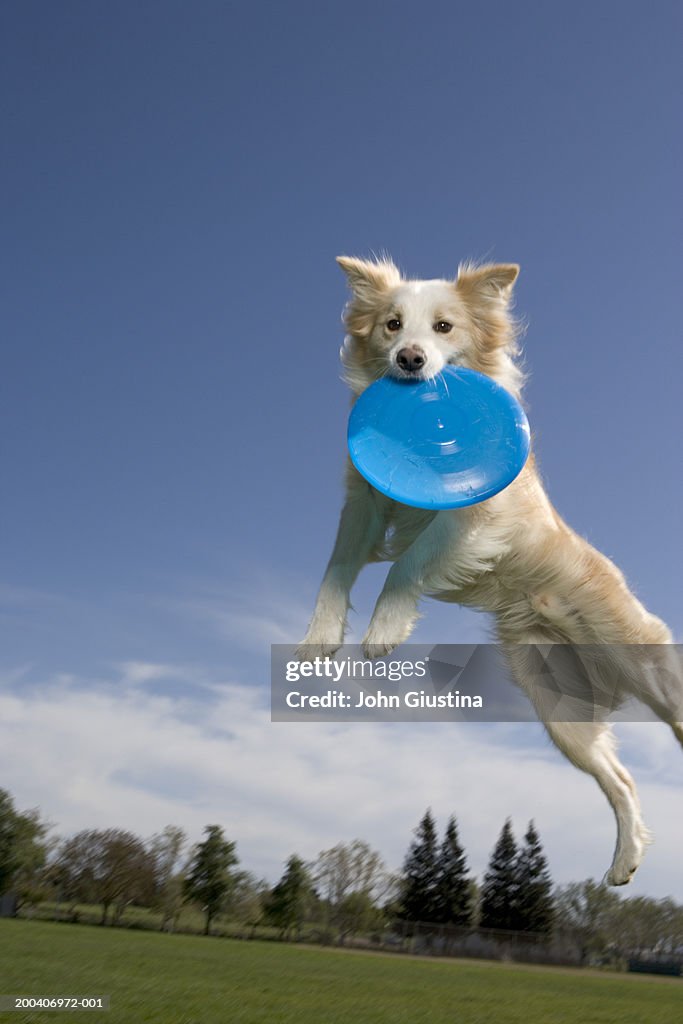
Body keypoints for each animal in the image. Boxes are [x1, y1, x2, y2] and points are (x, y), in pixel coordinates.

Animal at [296, 251, 679, 884]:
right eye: (392, 325)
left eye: (444, 327)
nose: (409, 359)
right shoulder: (364, 503)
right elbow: (336, 569)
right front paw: (319, 638)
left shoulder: (477, 518)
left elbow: (407, 564)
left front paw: (384, 629)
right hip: (562, 714)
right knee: (621, 780)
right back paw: (624, 861)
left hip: (649, 668)